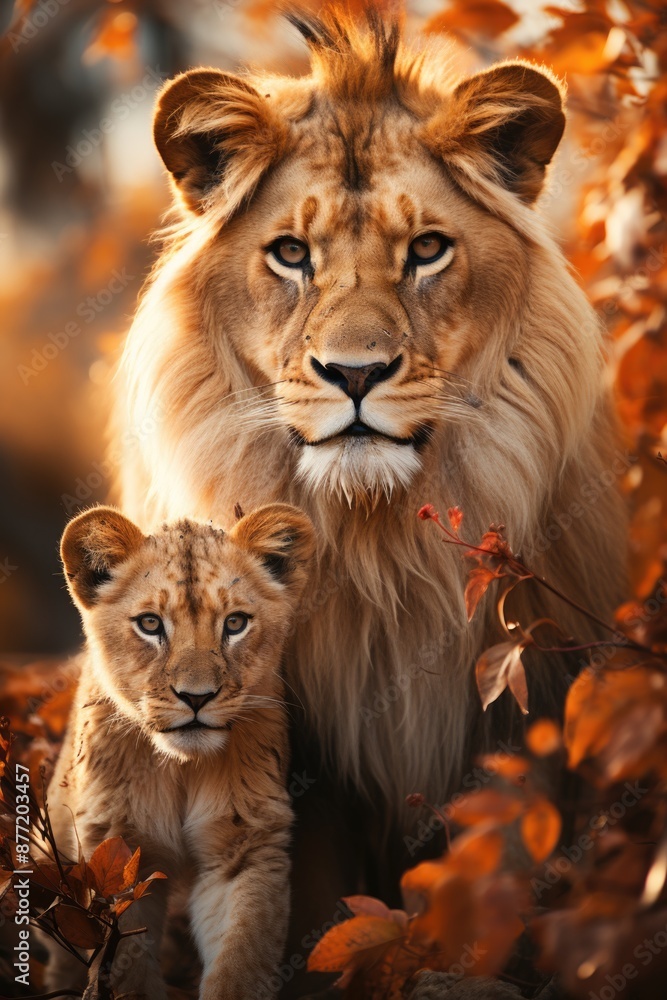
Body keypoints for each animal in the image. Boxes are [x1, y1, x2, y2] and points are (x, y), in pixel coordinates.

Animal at [45, 503, 315, 1000]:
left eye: (235, 623)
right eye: (151, 624)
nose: (196, 697)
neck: (183, 768)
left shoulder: (245, 843)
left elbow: (242, 957)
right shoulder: (119, 848)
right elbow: (126, 967)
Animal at [112, 7, 627, 993]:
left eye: (425, 249)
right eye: (290, 254)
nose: (354, 374)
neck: (375, 545)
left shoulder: (518, 718)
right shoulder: (287, 766)